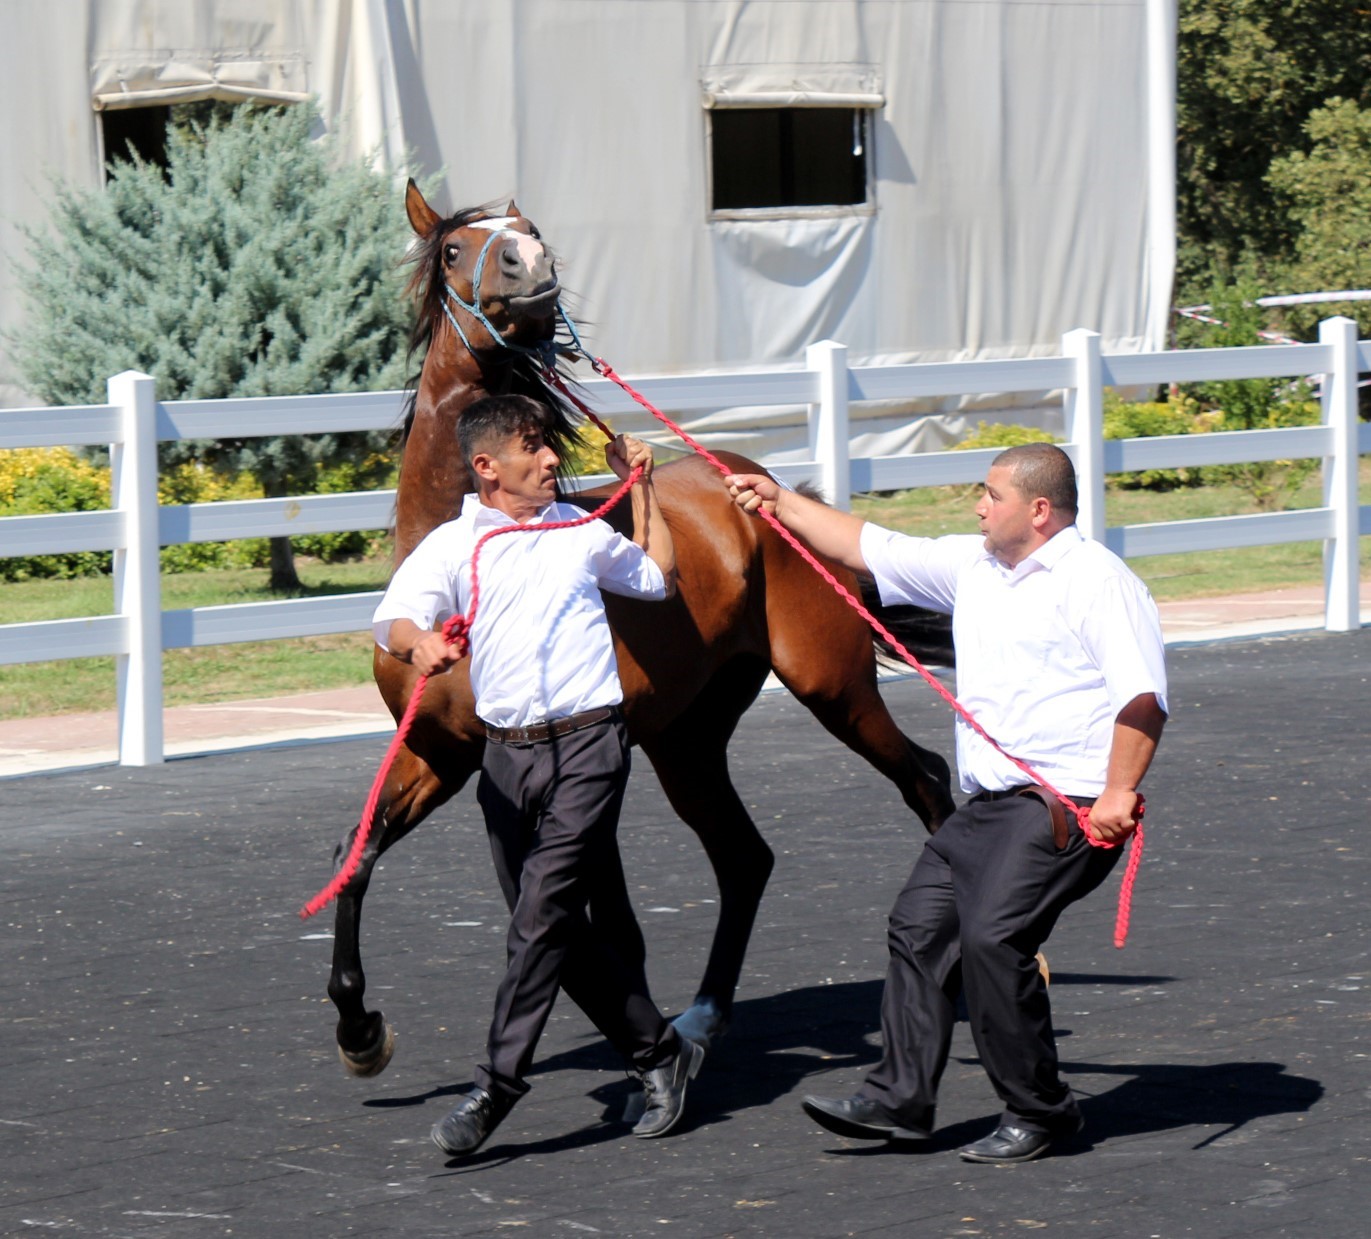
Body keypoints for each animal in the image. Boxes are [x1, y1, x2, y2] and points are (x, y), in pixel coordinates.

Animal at [329, 180, 954, 1074]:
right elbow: (358, 852)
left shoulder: (585, 753)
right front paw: (358, 1029)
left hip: (830, 684)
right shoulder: (439, 750)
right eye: (455, 250)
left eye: (531, 229)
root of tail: (766, 489)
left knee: (924, 778)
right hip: (685, 737)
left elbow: (606, 919)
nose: (532, 264)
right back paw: (702, 1014)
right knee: (743, 855)